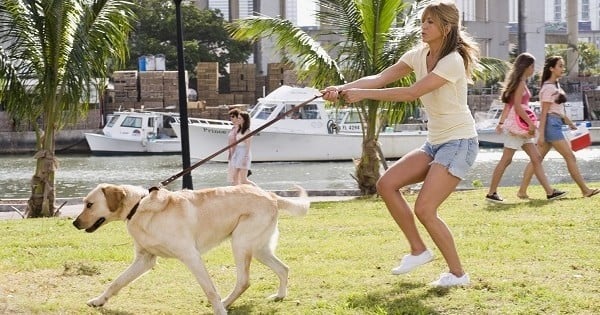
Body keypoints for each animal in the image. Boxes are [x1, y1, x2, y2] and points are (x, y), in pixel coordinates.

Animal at [72, 184, 310, 314]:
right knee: (283, 268)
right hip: (259, 249)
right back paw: (278, 296)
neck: (138, 208)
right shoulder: (145, 259)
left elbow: (210, 289)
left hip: (241, 243)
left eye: (89, 204)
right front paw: (99, 301)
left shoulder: (191, 256)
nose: (74, 223)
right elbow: (117, 282)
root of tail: (270, 195)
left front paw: (219, 310)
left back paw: (225, 303)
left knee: (244, 281)